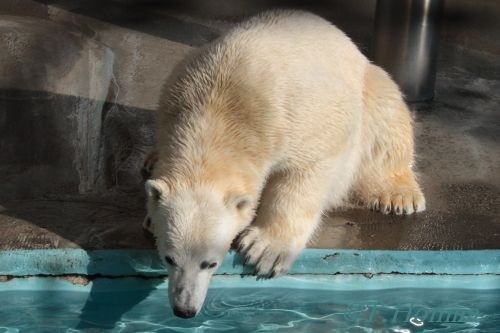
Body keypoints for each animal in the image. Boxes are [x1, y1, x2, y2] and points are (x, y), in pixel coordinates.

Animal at [144, 9, 426, 316]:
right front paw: (150, 218)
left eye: (210, 263)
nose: (184, 309)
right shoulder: (175, 92)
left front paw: (265, 250)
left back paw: (399, 195)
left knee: (386, 121)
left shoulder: (293, 114)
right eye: (169, 258)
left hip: (370, 86)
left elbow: (309, 167)